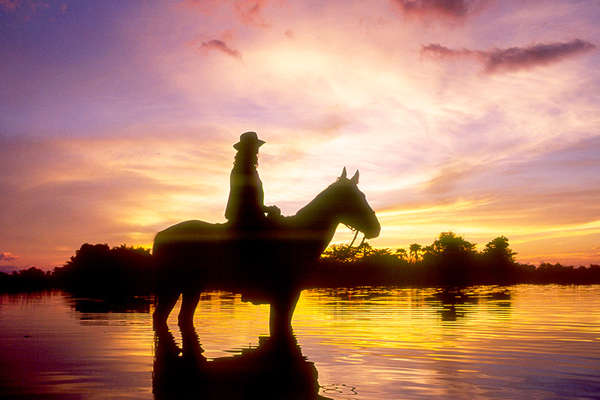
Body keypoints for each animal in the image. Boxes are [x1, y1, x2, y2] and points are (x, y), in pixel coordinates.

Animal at [154, 169, 380, 334]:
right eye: (354, 197)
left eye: (363, 195)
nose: (376, 228)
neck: (298, 240)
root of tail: (160, 235)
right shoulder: (285, 297)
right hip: (171, 288)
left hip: (191, 288)